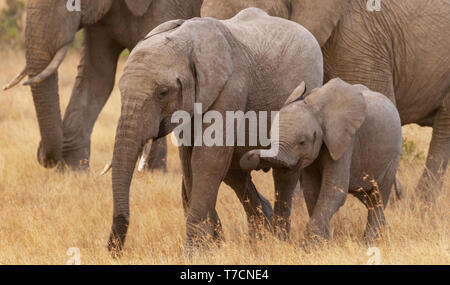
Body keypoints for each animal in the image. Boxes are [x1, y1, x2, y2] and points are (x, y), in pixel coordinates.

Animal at [241, 79, 402, 241]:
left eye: (302, 142)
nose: (253, 157)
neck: (316, 110)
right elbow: (311, 190)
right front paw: (325, 242)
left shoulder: (344, 142)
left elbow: (334, 191)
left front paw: (309, 245)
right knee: (367, 197)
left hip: (393, 156)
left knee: (377, 198)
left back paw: (370, 241)